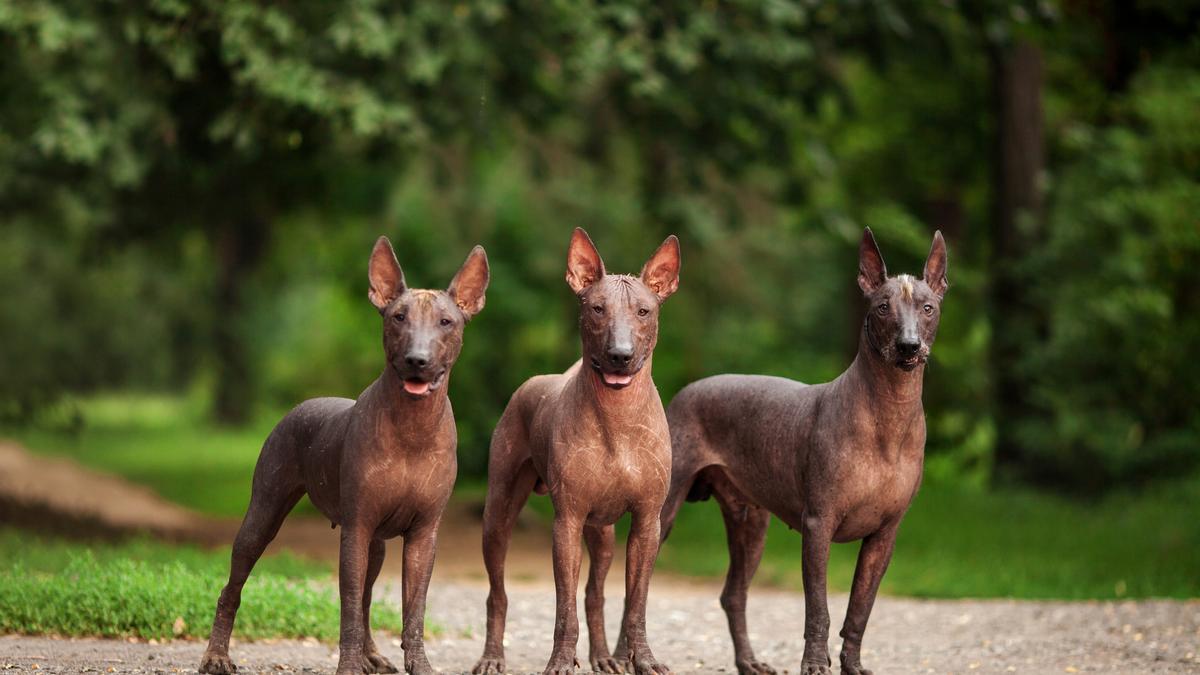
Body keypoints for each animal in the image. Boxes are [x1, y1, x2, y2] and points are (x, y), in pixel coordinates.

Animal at [199, 235, 489, 672]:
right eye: (398, 317)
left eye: (446, 322)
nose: (417, 360)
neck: (413, 427)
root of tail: (302, 405)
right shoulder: (356, 529)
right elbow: (349, 605)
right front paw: (349, 664)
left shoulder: (424, 536)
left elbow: (413, 611)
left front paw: (417, 664)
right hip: (263, 516)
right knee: (232, 588)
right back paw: (216, 655)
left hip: (378, 545)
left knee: (368, 599)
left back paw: (373, 655)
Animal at [475, 227, 686, 672]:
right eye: (596, 309)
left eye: (644, 311)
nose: (620, 356)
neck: (617, 419)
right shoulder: (566, 523)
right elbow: (563, 608)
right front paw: (560, 660)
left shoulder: (648, 523)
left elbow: (635, 604)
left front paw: (642, 659)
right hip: (498, 516)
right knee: (497, 594)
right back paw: (491, 656)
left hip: (602, 535)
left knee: (596, 593)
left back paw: (604, 656)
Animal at [657, 227, 945, 672]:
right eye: (883, 307)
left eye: (928, 308)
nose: (909, 346)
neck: (888, 415)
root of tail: (684, 393)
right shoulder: (818, 526)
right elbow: (819, 610)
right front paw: (814, 663)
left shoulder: (884, 536)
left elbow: (860, 610)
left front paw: (852, 664)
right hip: (663, 514)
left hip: (751, 526)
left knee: (733, 594)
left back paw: (748, 662)